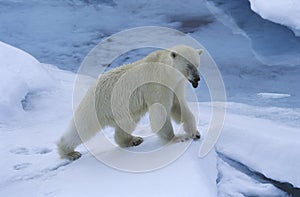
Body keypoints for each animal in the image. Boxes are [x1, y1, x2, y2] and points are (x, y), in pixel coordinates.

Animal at [57, 44, 203, 160]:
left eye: (197, 64)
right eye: (188, 65)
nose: (197, 79)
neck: (166, 71)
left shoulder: (175, 86)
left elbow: (180, 107)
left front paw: (195, 133)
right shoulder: (156, 84)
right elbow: (160, 111)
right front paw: (176, 138)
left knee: (127, 123)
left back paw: (133, 140)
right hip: (100, 104)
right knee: (83, 126)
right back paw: (70, 153)